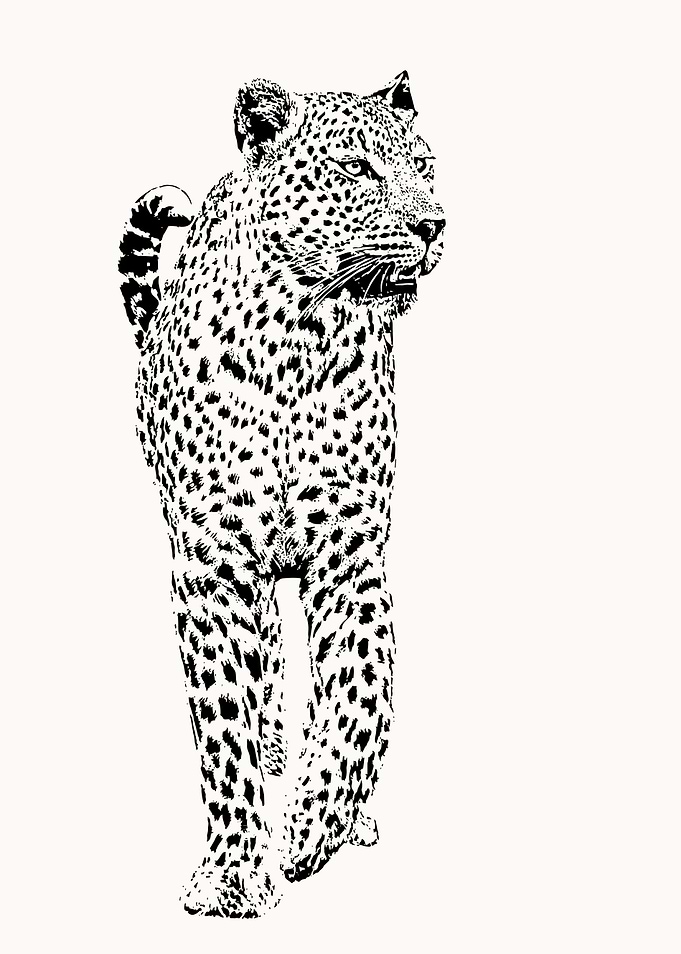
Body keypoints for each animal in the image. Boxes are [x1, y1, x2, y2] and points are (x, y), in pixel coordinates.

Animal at [118, 70, 445, 918]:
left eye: (424, 166)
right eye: (356, 168)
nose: (433, 224)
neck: (297, 336)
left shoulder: (351, 554)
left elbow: (359, 701)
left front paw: (312, 824)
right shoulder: (211, 562)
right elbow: (223, 715)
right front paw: (235, 868)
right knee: (263, 662)